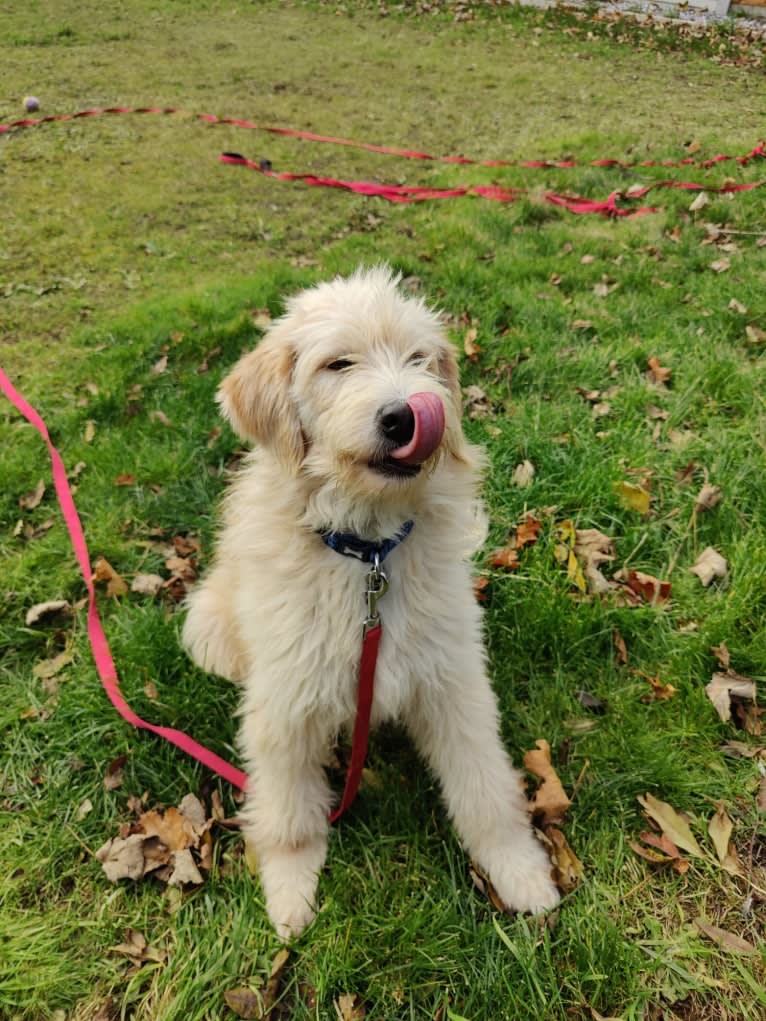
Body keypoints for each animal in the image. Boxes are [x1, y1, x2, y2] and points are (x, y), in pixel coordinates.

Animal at [182, 267, 559, 935]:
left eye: (418, 359)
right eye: (338, 364)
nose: (404, 417)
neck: (367, 557)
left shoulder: (454, 682)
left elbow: (485, 787)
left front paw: (518, 871)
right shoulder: (284, 704)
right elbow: (287, 807)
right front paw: (290, 892)